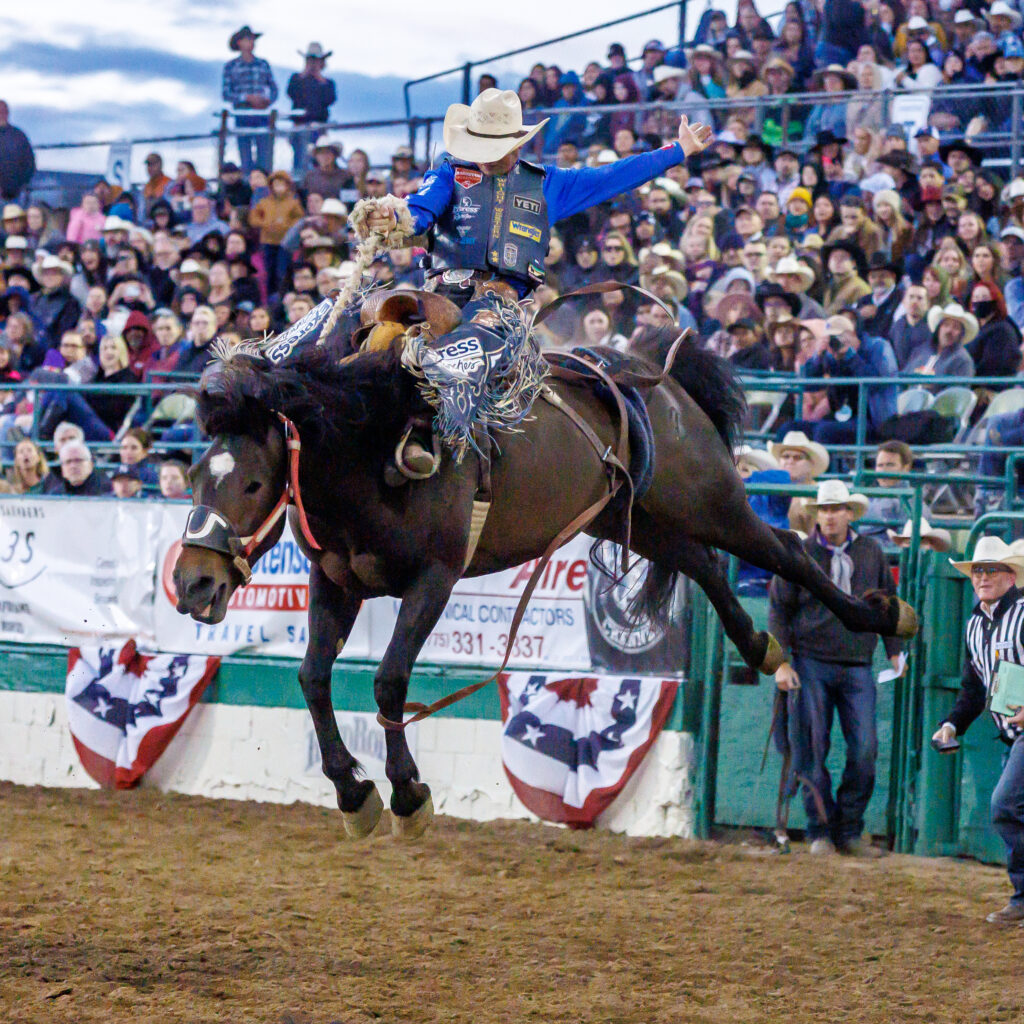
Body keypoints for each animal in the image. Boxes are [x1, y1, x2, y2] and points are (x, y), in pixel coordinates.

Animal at [172, 288, 917, 839]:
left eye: (252, 484)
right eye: (196, 477)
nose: (192, 581)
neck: (373, 440)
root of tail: (660, 379)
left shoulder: (434, 578)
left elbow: (386, 682)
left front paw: (408, 793)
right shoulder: (336, 580)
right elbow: (313, 679)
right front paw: (355, 796)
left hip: (712, 500)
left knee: (785, 552)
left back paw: (885, 617)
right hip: (644, 521)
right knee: (705, 566)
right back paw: (760, 645)